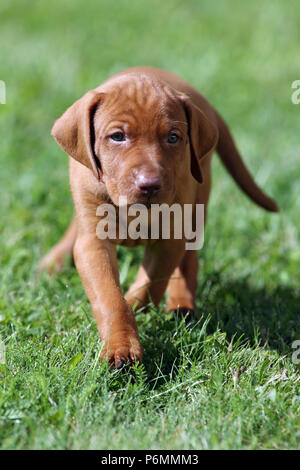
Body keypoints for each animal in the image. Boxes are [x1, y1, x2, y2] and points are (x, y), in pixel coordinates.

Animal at [39, 67, 278, 368]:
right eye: (117, 136)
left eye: (173, 137)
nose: (150, 185)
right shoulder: (93, 241)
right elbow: (110, 297)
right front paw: (120, 345)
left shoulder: (171, 238)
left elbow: (148, 285)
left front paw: (134, 312)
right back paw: (54, 262)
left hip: (197, 204)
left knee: (189, 261)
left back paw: (180, 306)